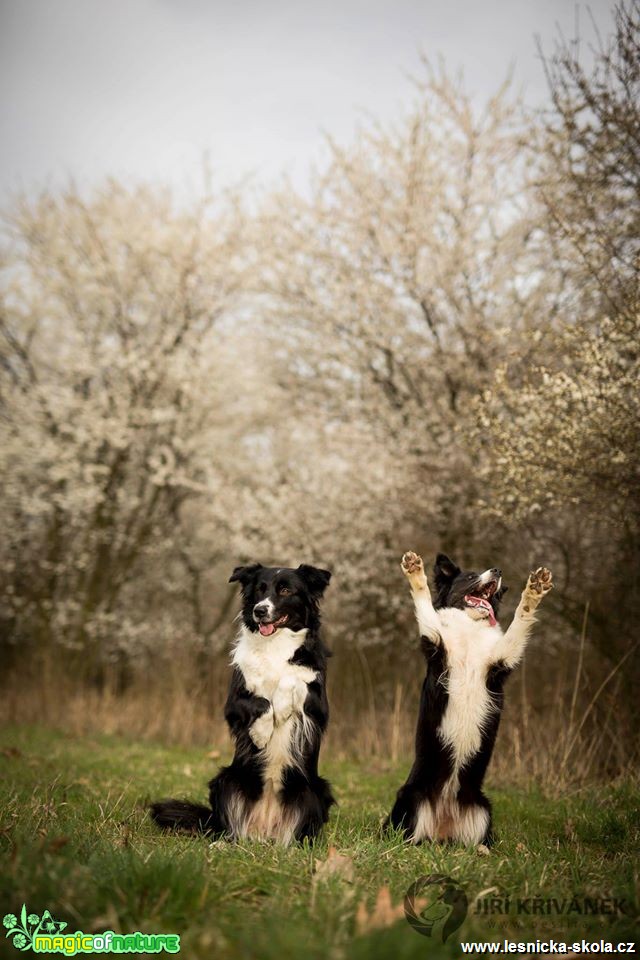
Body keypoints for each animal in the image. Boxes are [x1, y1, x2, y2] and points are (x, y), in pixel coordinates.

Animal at [151, 560, 336, 844]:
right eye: (260, 589)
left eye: (286, 590)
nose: (260, 611)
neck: (275, 644)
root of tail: (265, 828)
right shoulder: (234, 702)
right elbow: (260, 702)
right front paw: (261, 733)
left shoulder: (318, 704)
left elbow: (291, 679)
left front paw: (283, 708)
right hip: (226, 780)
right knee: (232, 828)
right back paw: (223, 844)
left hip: (314, 790)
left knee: (298, 832)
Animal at [388, 552, 552, 844]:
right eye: (470, 576)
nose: (497, 571)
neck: (470, 627)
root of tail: (443, 825)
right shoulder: (435, 642)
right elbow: (425, 603)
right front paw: (415, 572)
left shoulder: (501, 660)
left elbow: (520, 620)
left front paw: (534, 591)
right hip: (411, 798)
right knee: (405, 835)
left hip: (482, 808)